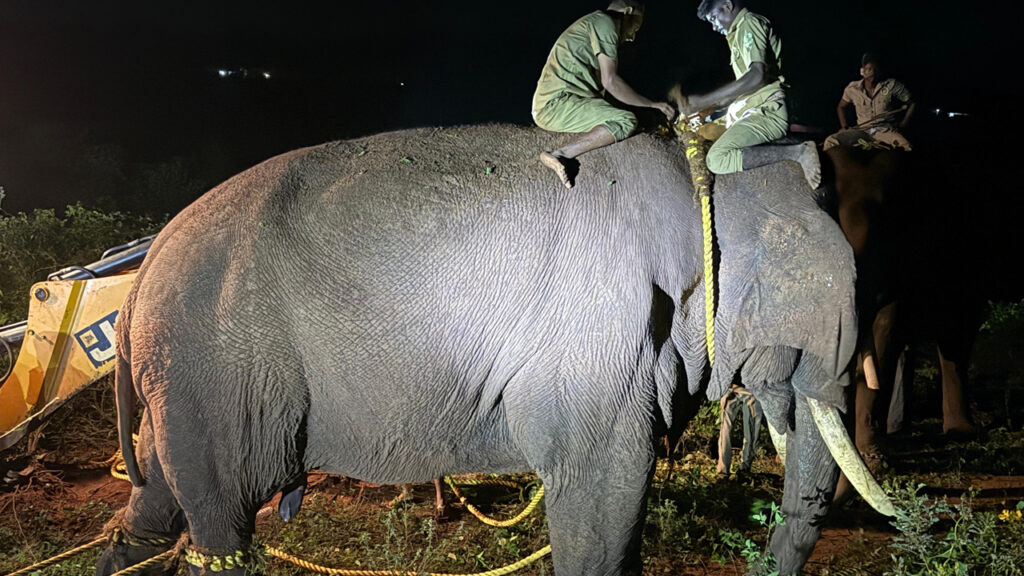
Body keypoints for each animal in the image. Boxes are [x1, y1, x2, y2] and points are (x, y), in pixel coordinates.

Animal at [95, 124, 890, 576]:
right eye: (830, 289)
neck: (701, 173)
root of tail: (140, 275)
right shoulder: (598, 332)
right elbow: (603, 498)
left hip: (181, 387)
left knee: (154, 509)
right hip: (215, 375)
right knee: (220, 523)